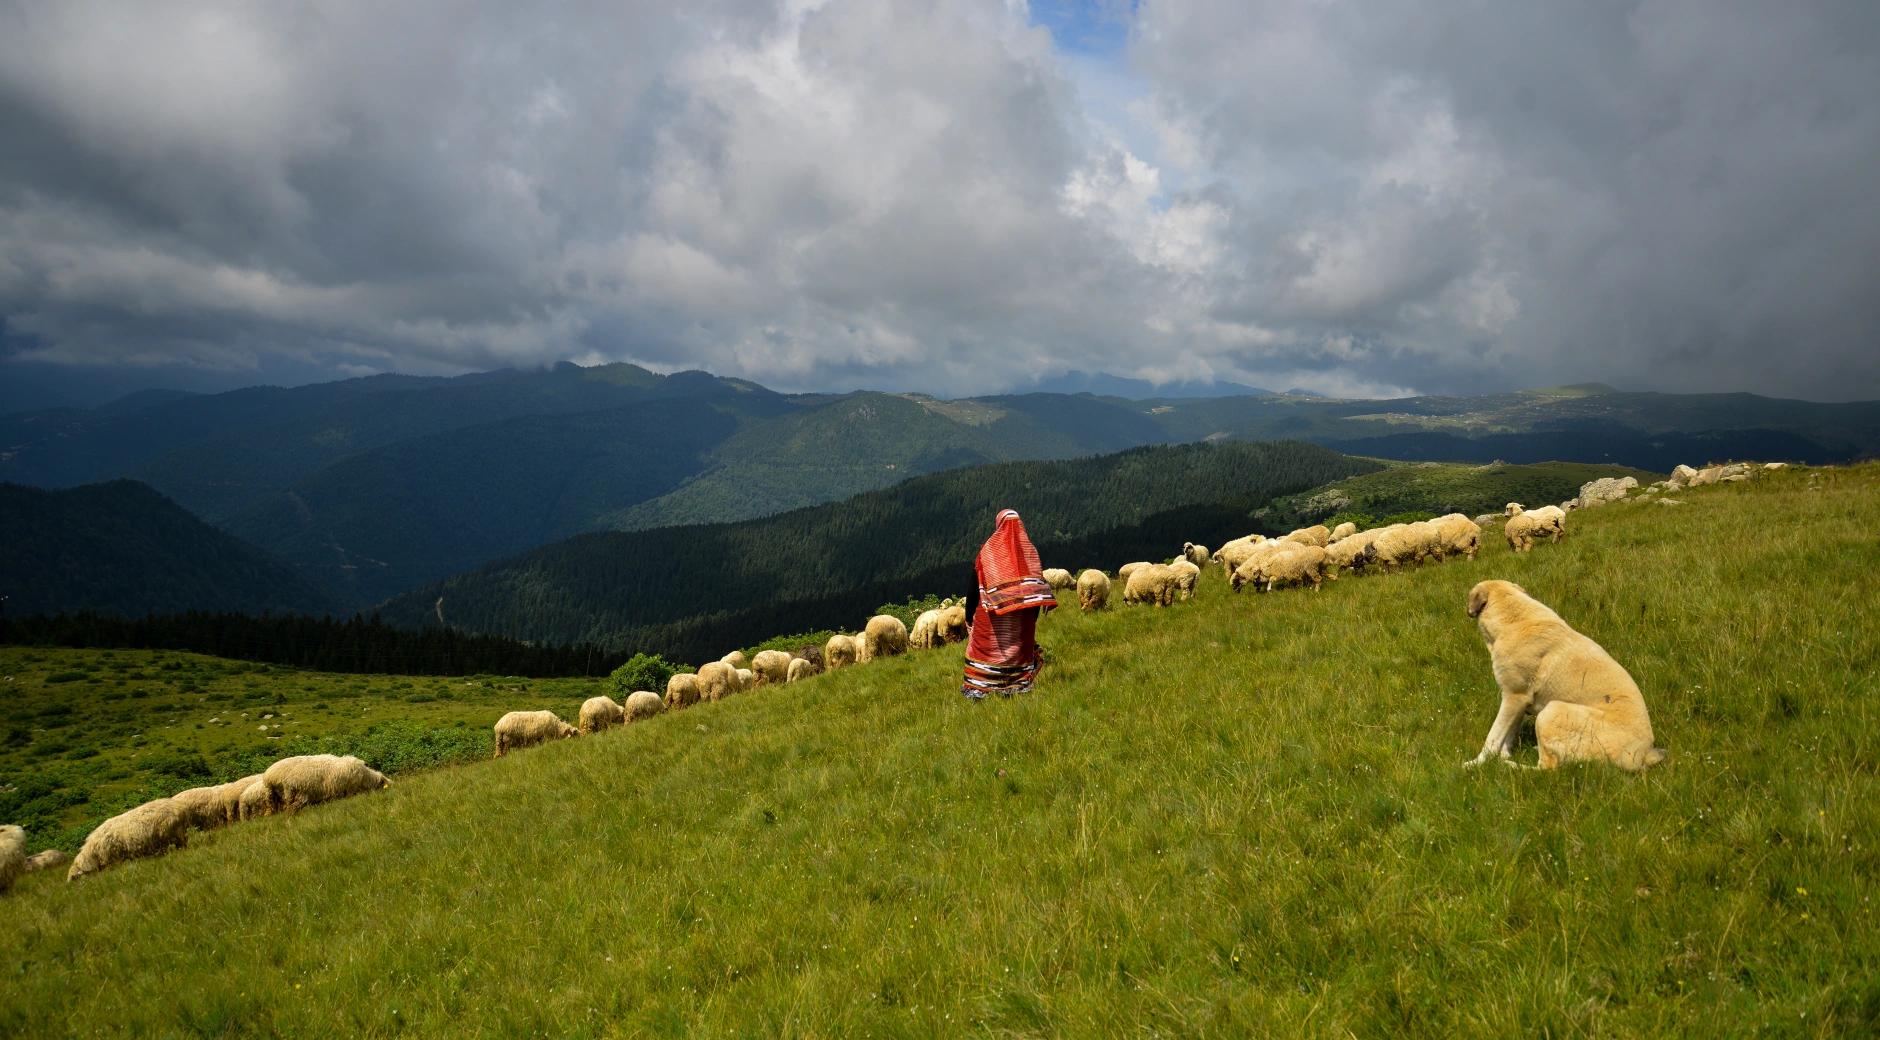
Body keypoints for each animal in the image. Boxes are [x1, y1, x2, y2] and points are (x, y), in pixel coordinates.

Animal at [261, 748, 389, 816]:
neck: (365, 777)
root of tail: (270, 775)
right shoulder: (350, 790)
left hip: (273, 797)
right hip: (294, 792)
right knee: (290, 809)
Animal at [1458, 575, 1669, 771]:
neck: (1513, 619)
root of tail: (1643, 754)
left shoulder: (1513, 696)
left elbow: (1493, 737)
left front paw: (1477, 763)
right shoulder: (1520, 701)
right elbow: (1508, 735)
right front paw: (1503, 754)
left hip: (1551, 710)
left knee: (1547, 767)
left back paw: (1510, 766)